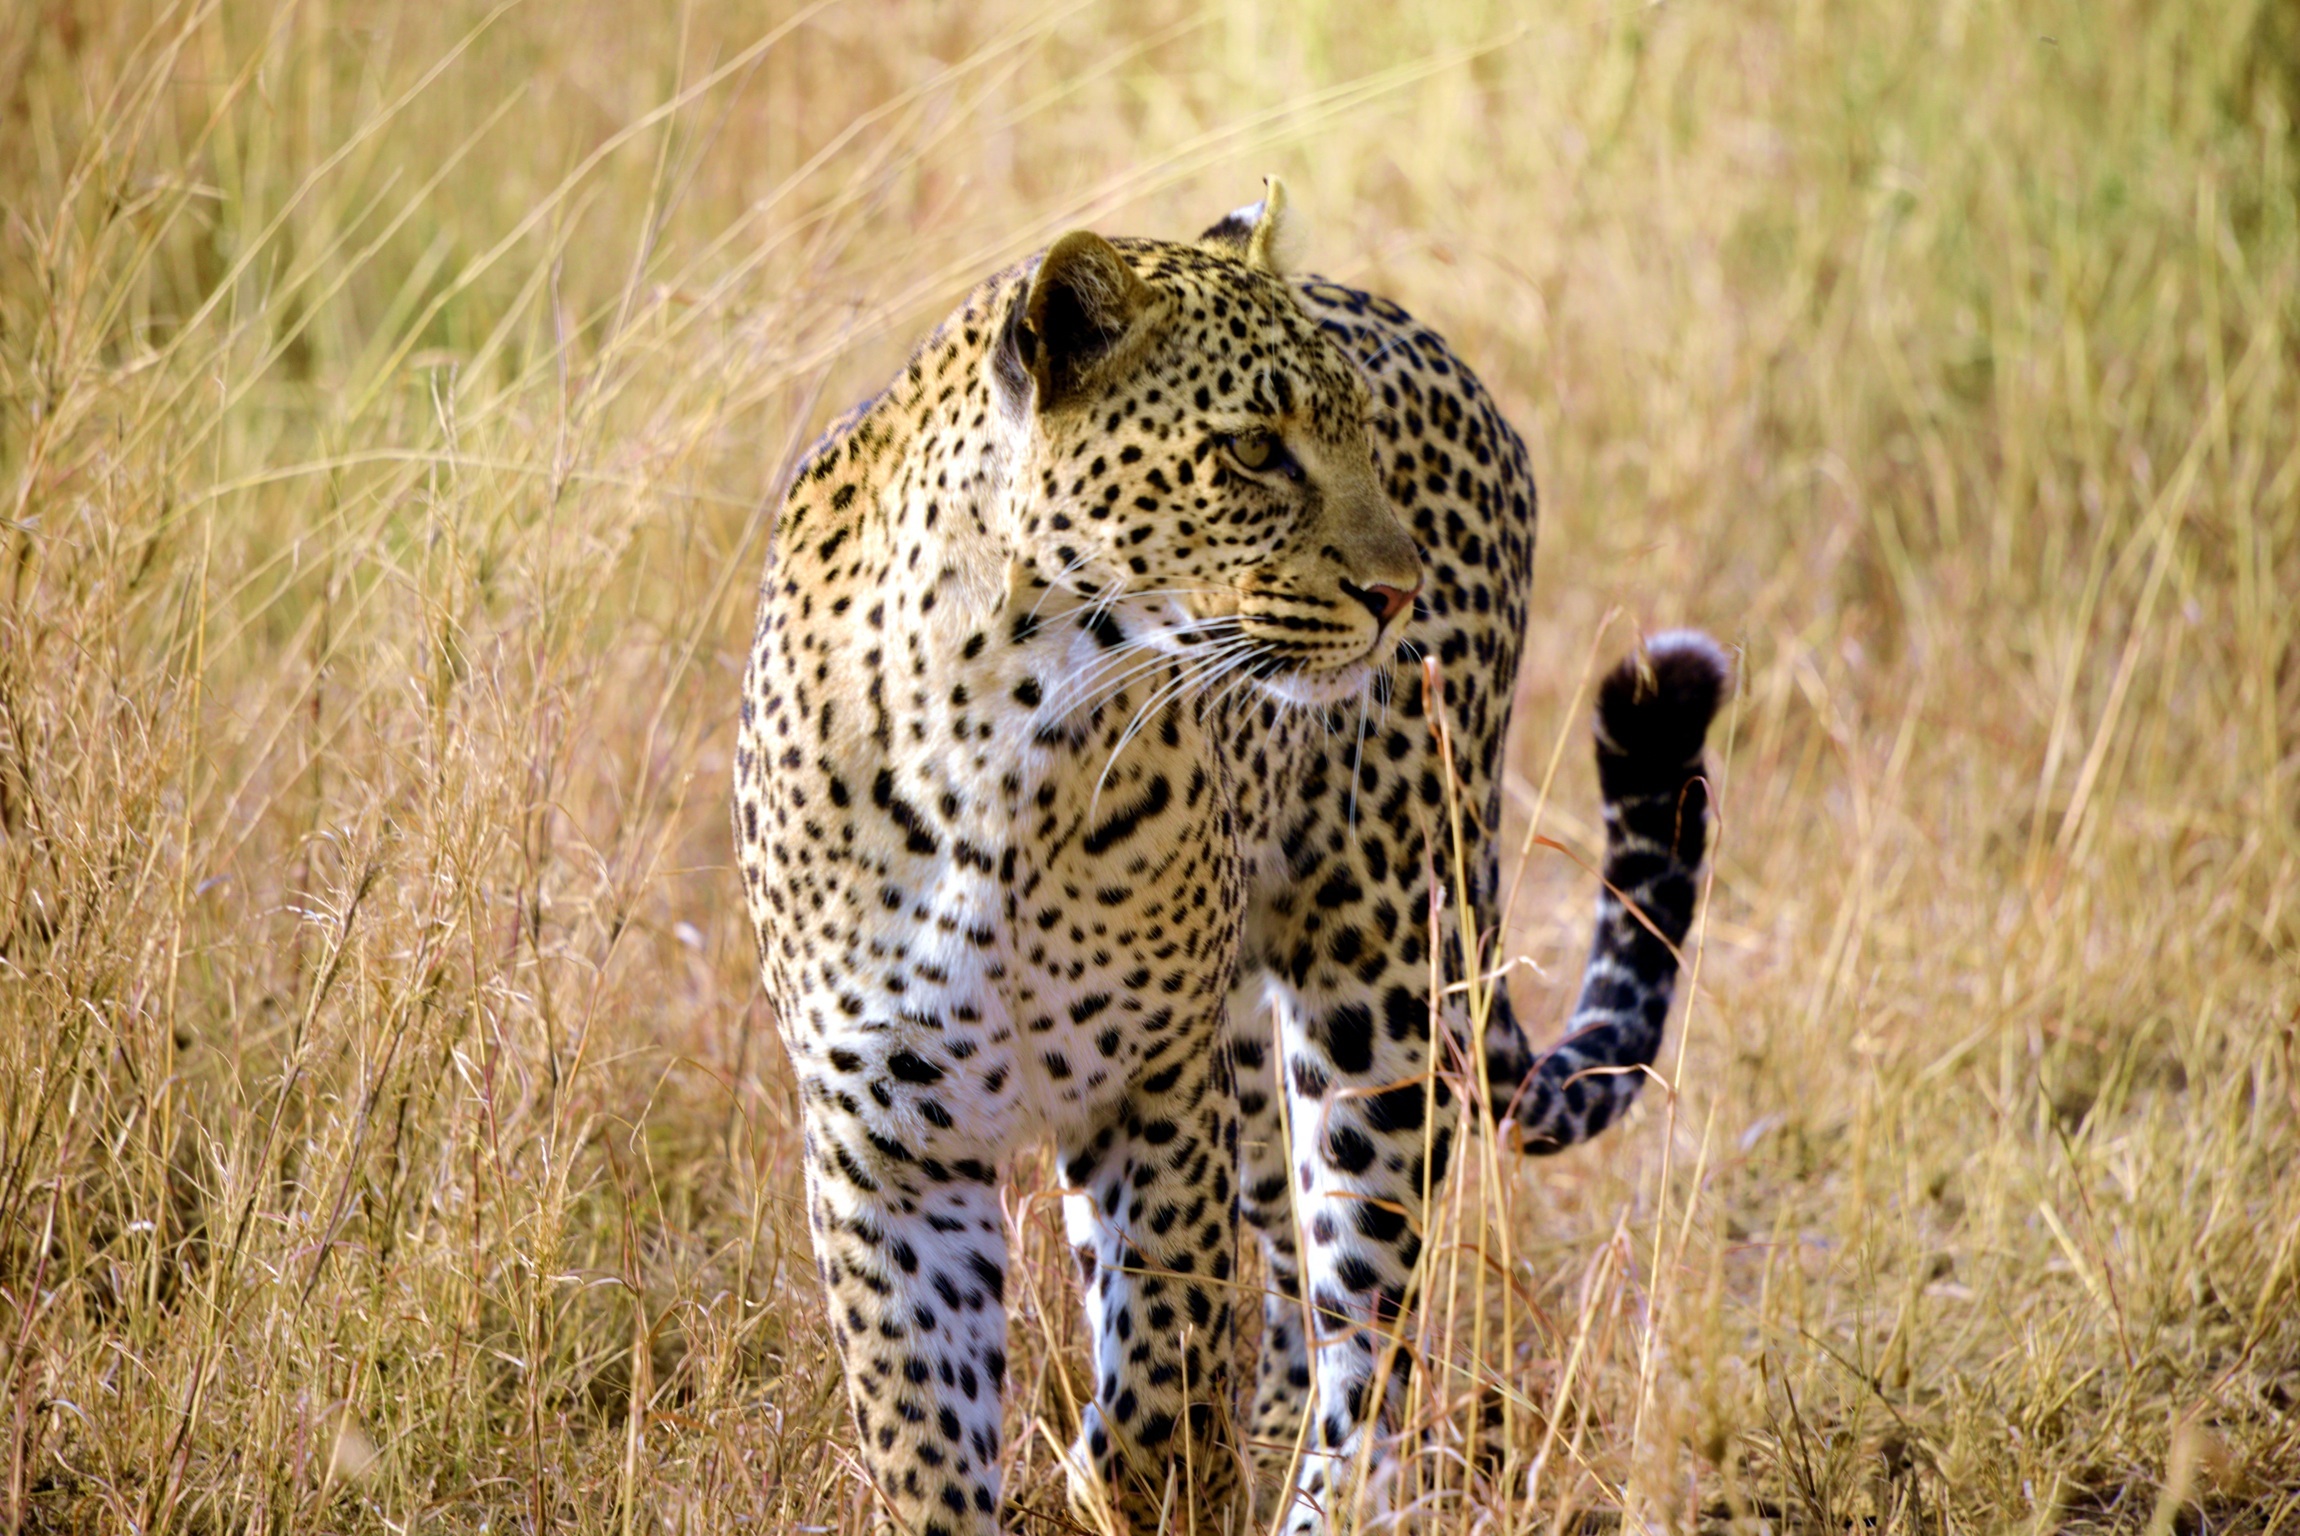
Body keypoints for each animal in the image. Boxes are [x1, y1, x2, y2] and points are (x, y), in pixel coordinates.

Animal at [732, 182, 1729, 1535]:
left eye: (1354, 437)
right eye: (1252, 450)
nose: (1397, 592)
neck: (998, 735)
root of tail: (1429, 338)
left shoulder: (1152, 1086)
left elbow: (1162, 1365)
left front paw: (1137, 1479)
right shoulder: (880, 1133)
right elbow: (924, 1432)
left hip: (1376, 994)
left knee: (1361, 1332)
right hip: (1255, 1056)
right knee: (1297, 1305)